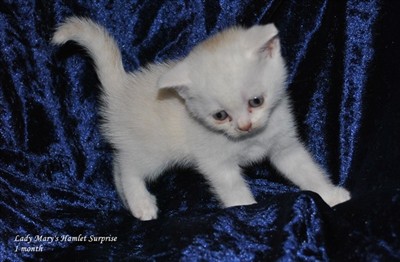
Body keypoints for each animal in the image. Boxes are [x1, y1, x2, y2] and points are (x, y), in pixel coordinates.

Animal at [52, 16, 350, 221]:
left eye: (256, 101)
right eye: (220, 116)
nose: (244, 126)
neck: (251, 140)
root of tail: (121, 88)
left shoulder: (284, 146)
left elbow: (305, 170)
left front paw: (330, 194)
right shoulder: (216, 162)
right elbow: (233, 189)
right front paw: (247, 212)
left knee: (117, 164)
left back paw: (129, 202)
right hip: (154, 152)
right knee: (127, 167)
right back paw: (141, 202)